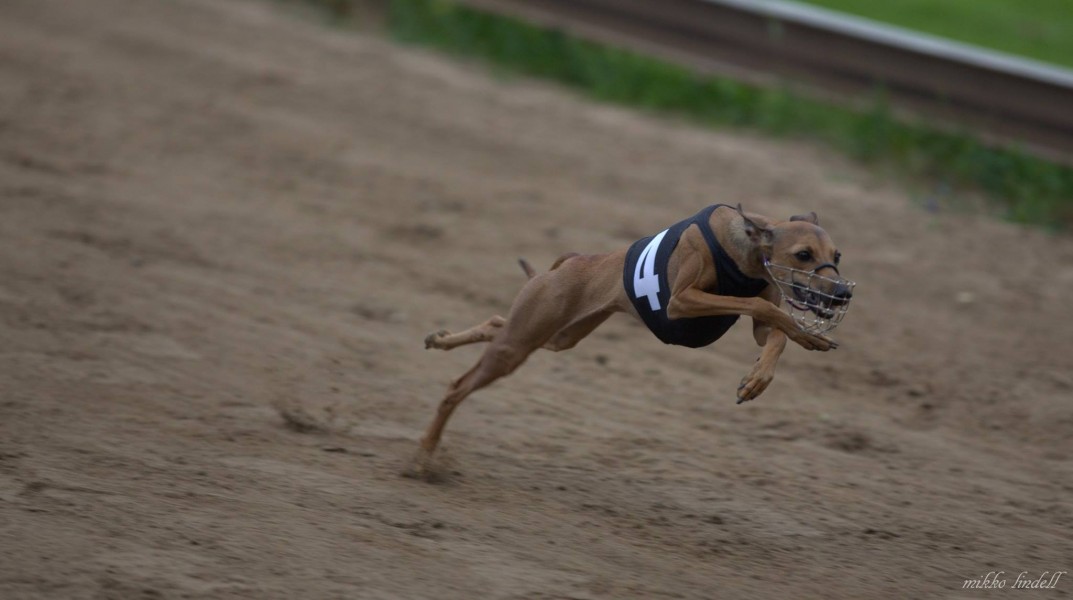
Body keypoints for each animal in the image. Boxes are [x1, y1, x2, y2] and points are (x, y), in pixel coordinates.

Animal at [418, 204, 853, 468]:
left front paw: (762, 374)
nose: (843, 294)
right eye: (802, 255)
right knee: (457, 387)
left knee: (497, 322)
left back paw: (441, 339)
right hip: (519, 346)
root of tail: (570, 262)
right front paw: (802, 337)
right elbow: (765, 309)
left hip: (556, 334)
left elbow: (774, 331)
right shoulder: (682, 301)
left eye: (836, 255)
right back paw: (425, 454)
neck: (744, 247)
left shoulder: (761, 318)